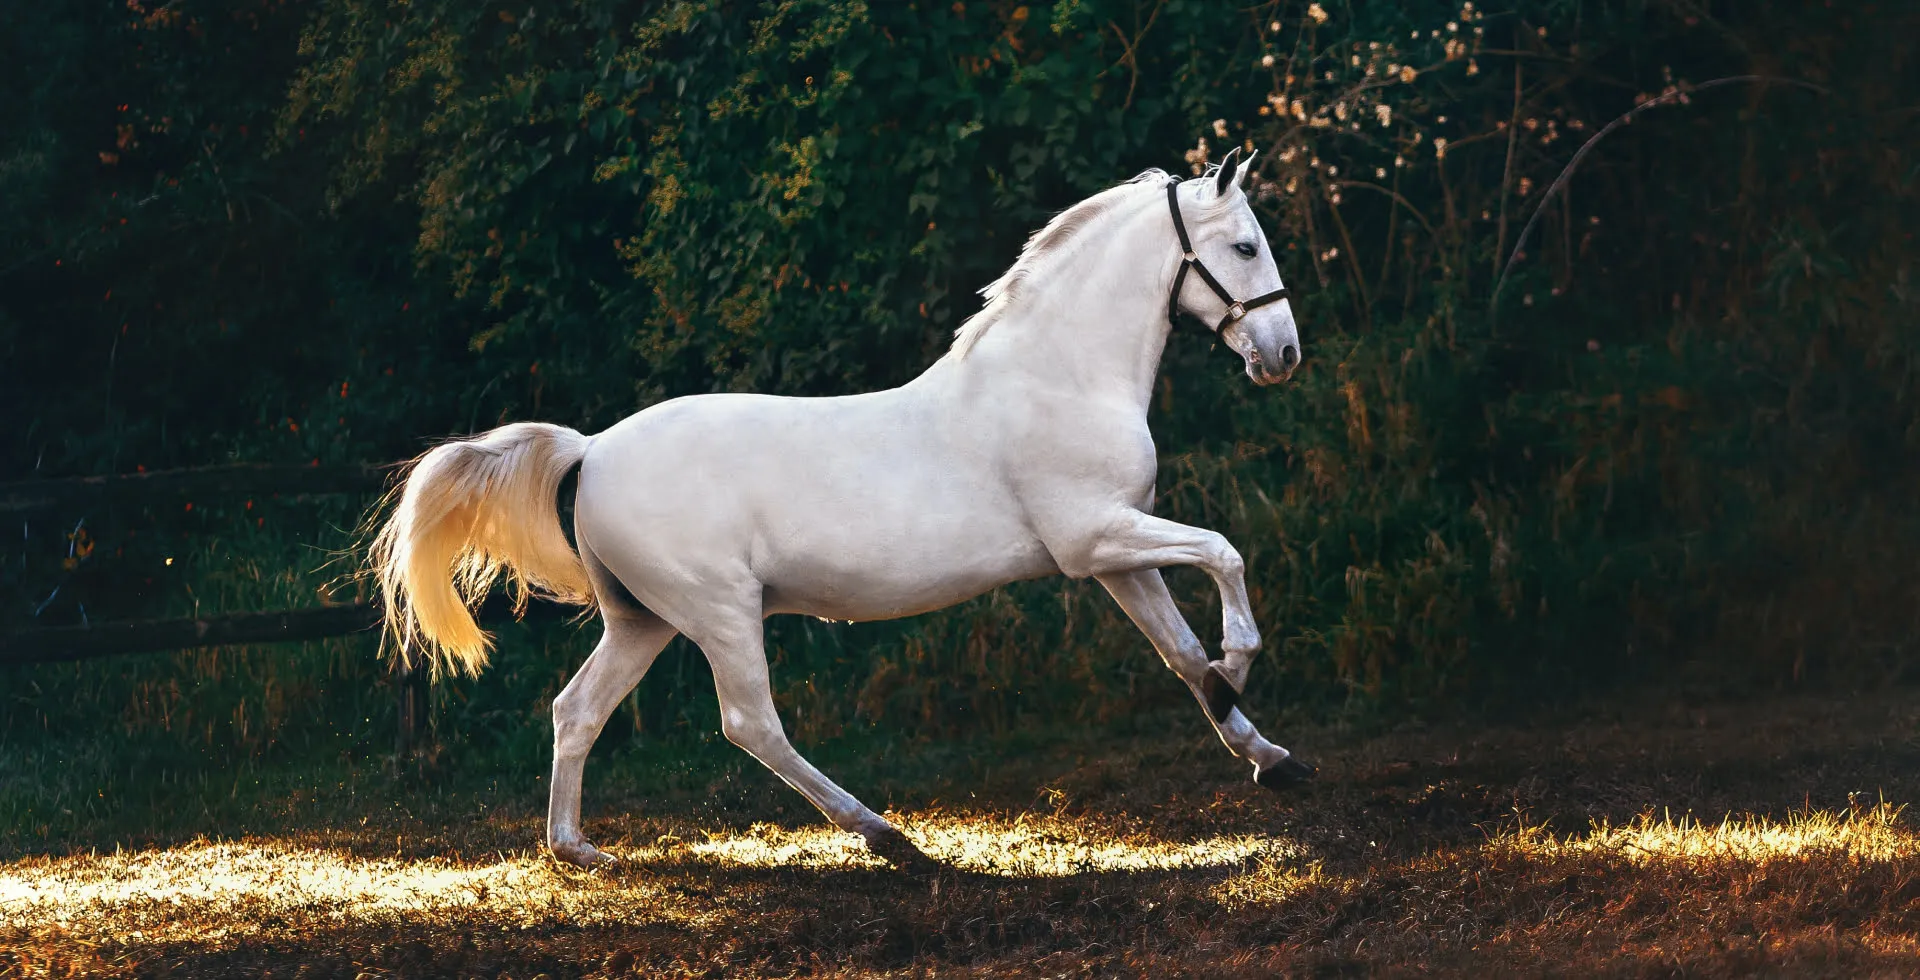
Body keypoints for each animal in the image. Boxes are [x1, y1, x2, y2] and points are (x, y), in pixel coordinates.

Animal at [369, 148, 1313, 870]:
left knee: (578, 710)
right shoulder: (1095, 540)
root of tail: (592, 449)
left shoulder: (1117, 555)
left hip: (643, 619)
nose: (1283, 355)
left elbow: (1181, 654)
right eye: (1244, 245)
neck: (1059, 378)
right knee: (751, 723)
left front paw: (1268, 755)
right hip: (719, 611)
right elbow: (1224, 555)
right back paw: (887, 837)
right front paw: (1241, 665)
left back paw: (577, 850)